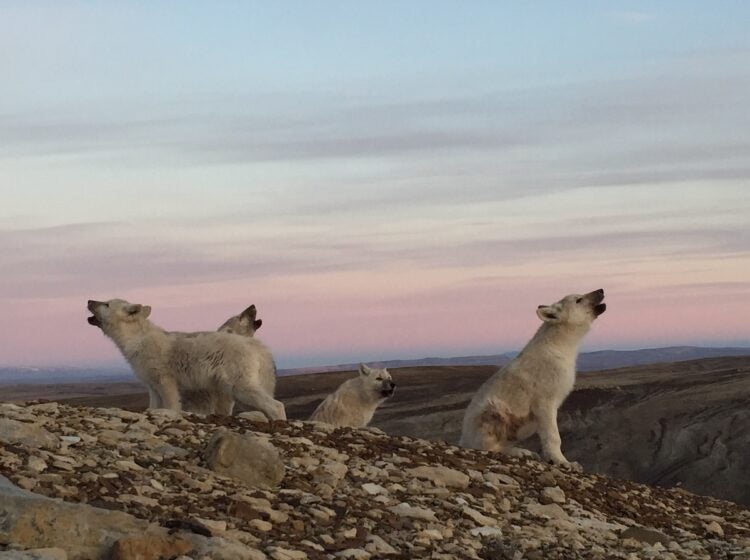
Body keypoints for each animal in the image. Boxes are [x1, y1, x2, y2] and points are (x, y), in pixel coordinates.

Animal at [87, 299, 286, 420]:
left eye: (106, 304)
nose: (89, 301)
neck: (136, 340)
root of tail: (254, 343)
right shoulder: (152, 387)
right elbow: (152, 407)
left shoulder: (166, 382)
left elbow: (172, 406)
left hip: (240, 388)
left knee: (277, 405)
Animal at [459, 289, 606, 466]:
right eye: (578, 300)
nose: (601, 290)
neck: (559, 347)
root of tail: (463, 441)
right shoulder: (544, 401)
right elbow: (553, 436)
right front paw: (562, 461)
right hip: (493, 410)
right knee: (487, 446)